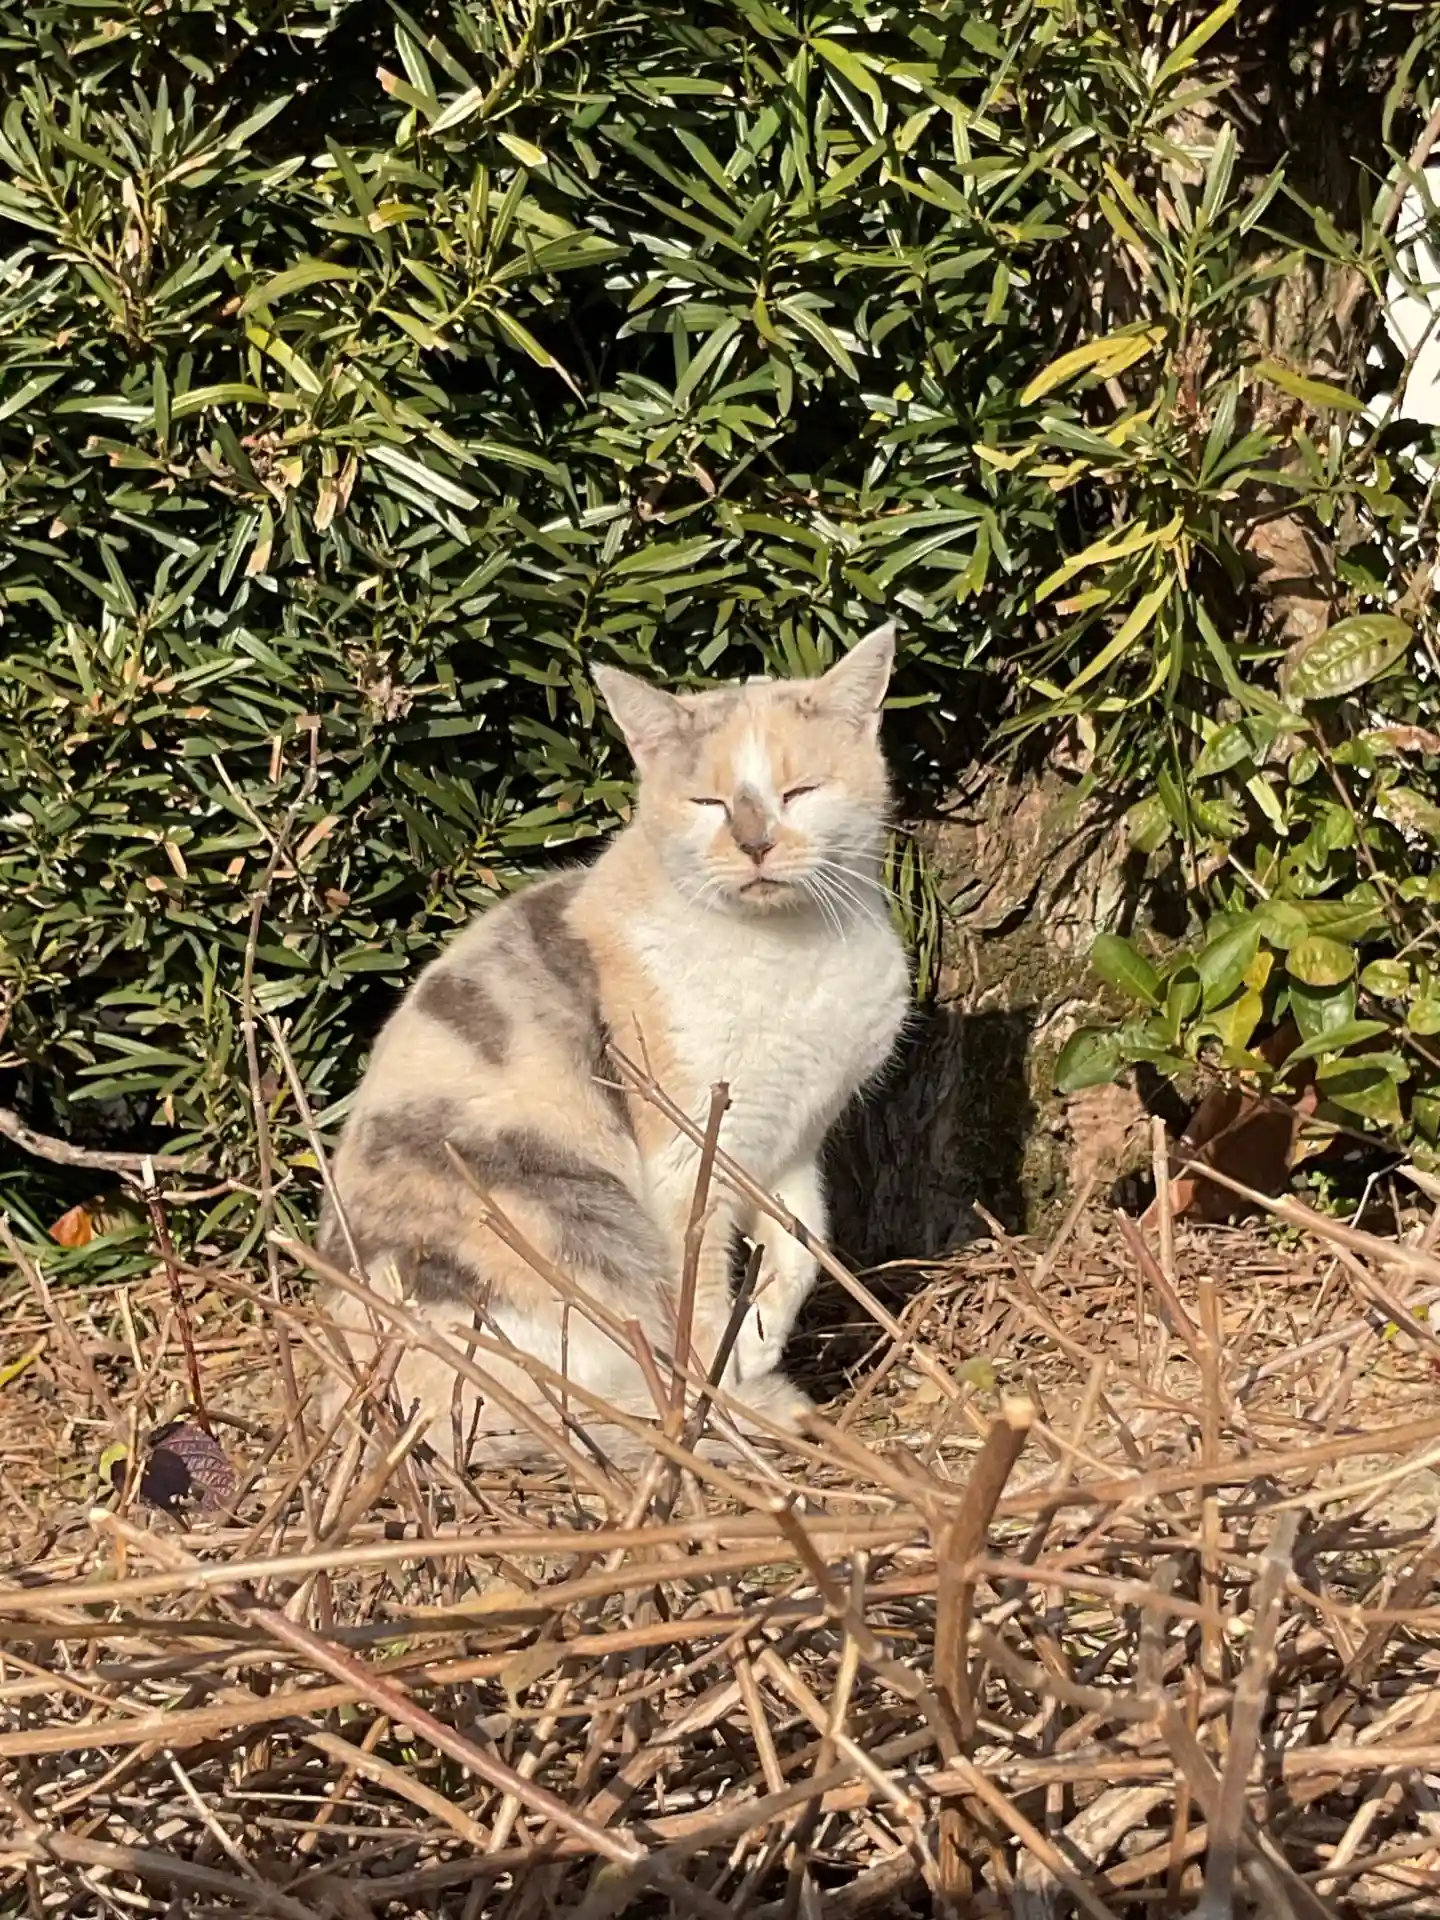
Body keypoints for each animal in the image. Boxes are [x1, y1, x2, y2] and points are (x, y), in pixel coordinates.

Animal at [313, 621, 911, 1466]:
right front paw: (723, 1384)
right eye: (708, 803)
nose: (756, 843)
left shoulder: (793, 1138)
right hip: (563, 1216)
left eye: (799, 792)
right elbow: (699, 1295)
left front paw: (760, 1337)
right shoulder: (687, 1153)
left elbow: (803, 1242)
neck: (790, 956)